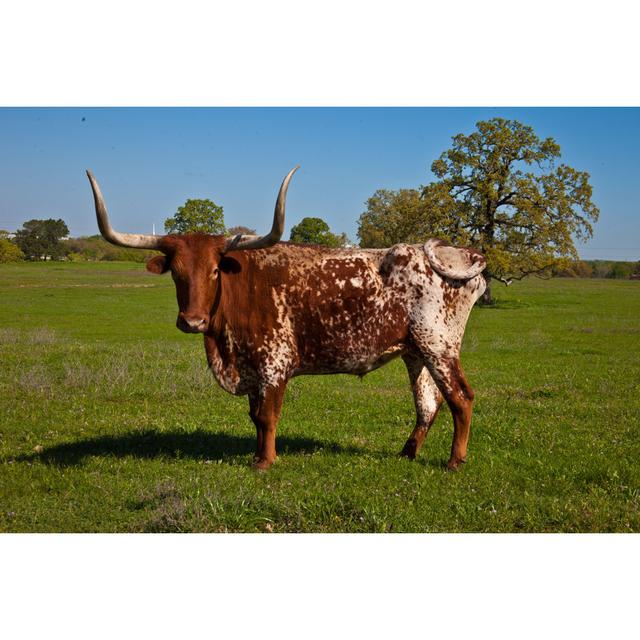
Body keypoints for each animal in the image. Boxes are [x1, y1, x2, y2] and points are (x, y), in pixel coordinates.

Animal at [85, 168, 484, 472]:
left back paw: (454, 461)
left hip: (439, 346)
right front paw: (256, 455)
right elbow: (254, 415)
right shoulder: (250, 367)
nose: (192, 321)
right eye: (176, 273)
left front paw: (265, 461)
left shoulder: (275, 363)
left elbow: (267, 415)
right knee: (428, 404)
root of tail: (464, 254)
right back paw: (407, 453)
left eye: (214, 270)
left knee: (460, 398)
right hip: (414, 351)